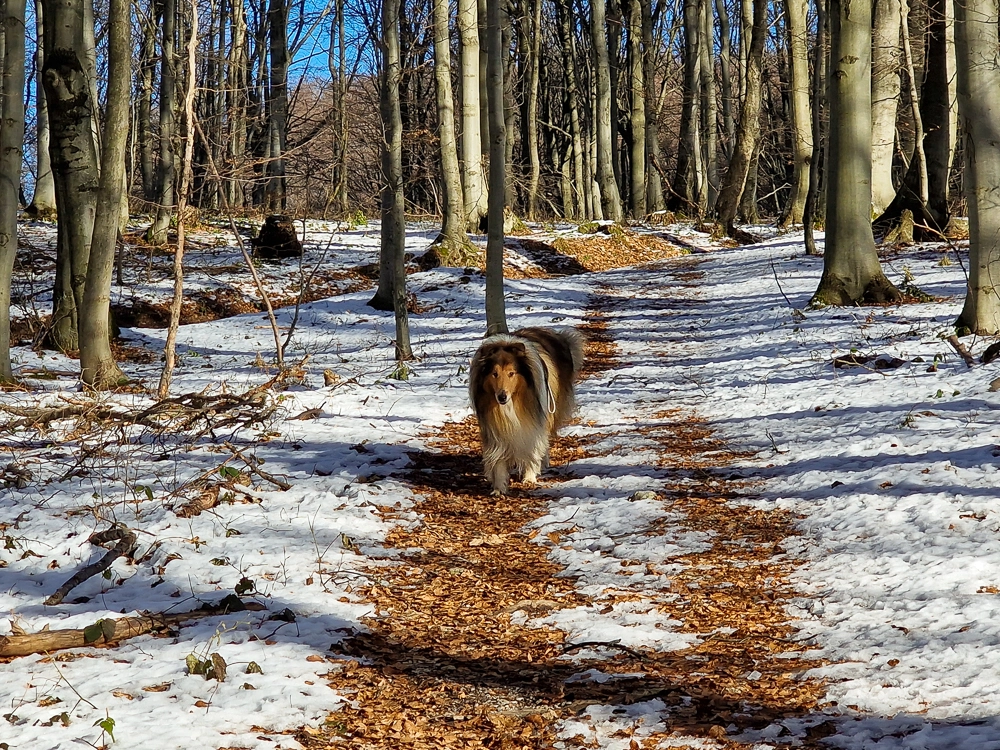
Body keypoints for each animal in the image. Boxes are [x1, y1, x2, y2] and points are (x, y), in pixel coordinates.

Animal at [470, 328, 584, 494]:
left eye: (511, 373)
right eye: (494, 374)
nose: (501, 397)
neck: (511, 404)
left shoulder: (534, 421)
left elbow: (532, 448)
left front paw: (529, 477)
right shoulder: (493, 427)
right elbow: (498, 458)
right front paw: (499, 488)